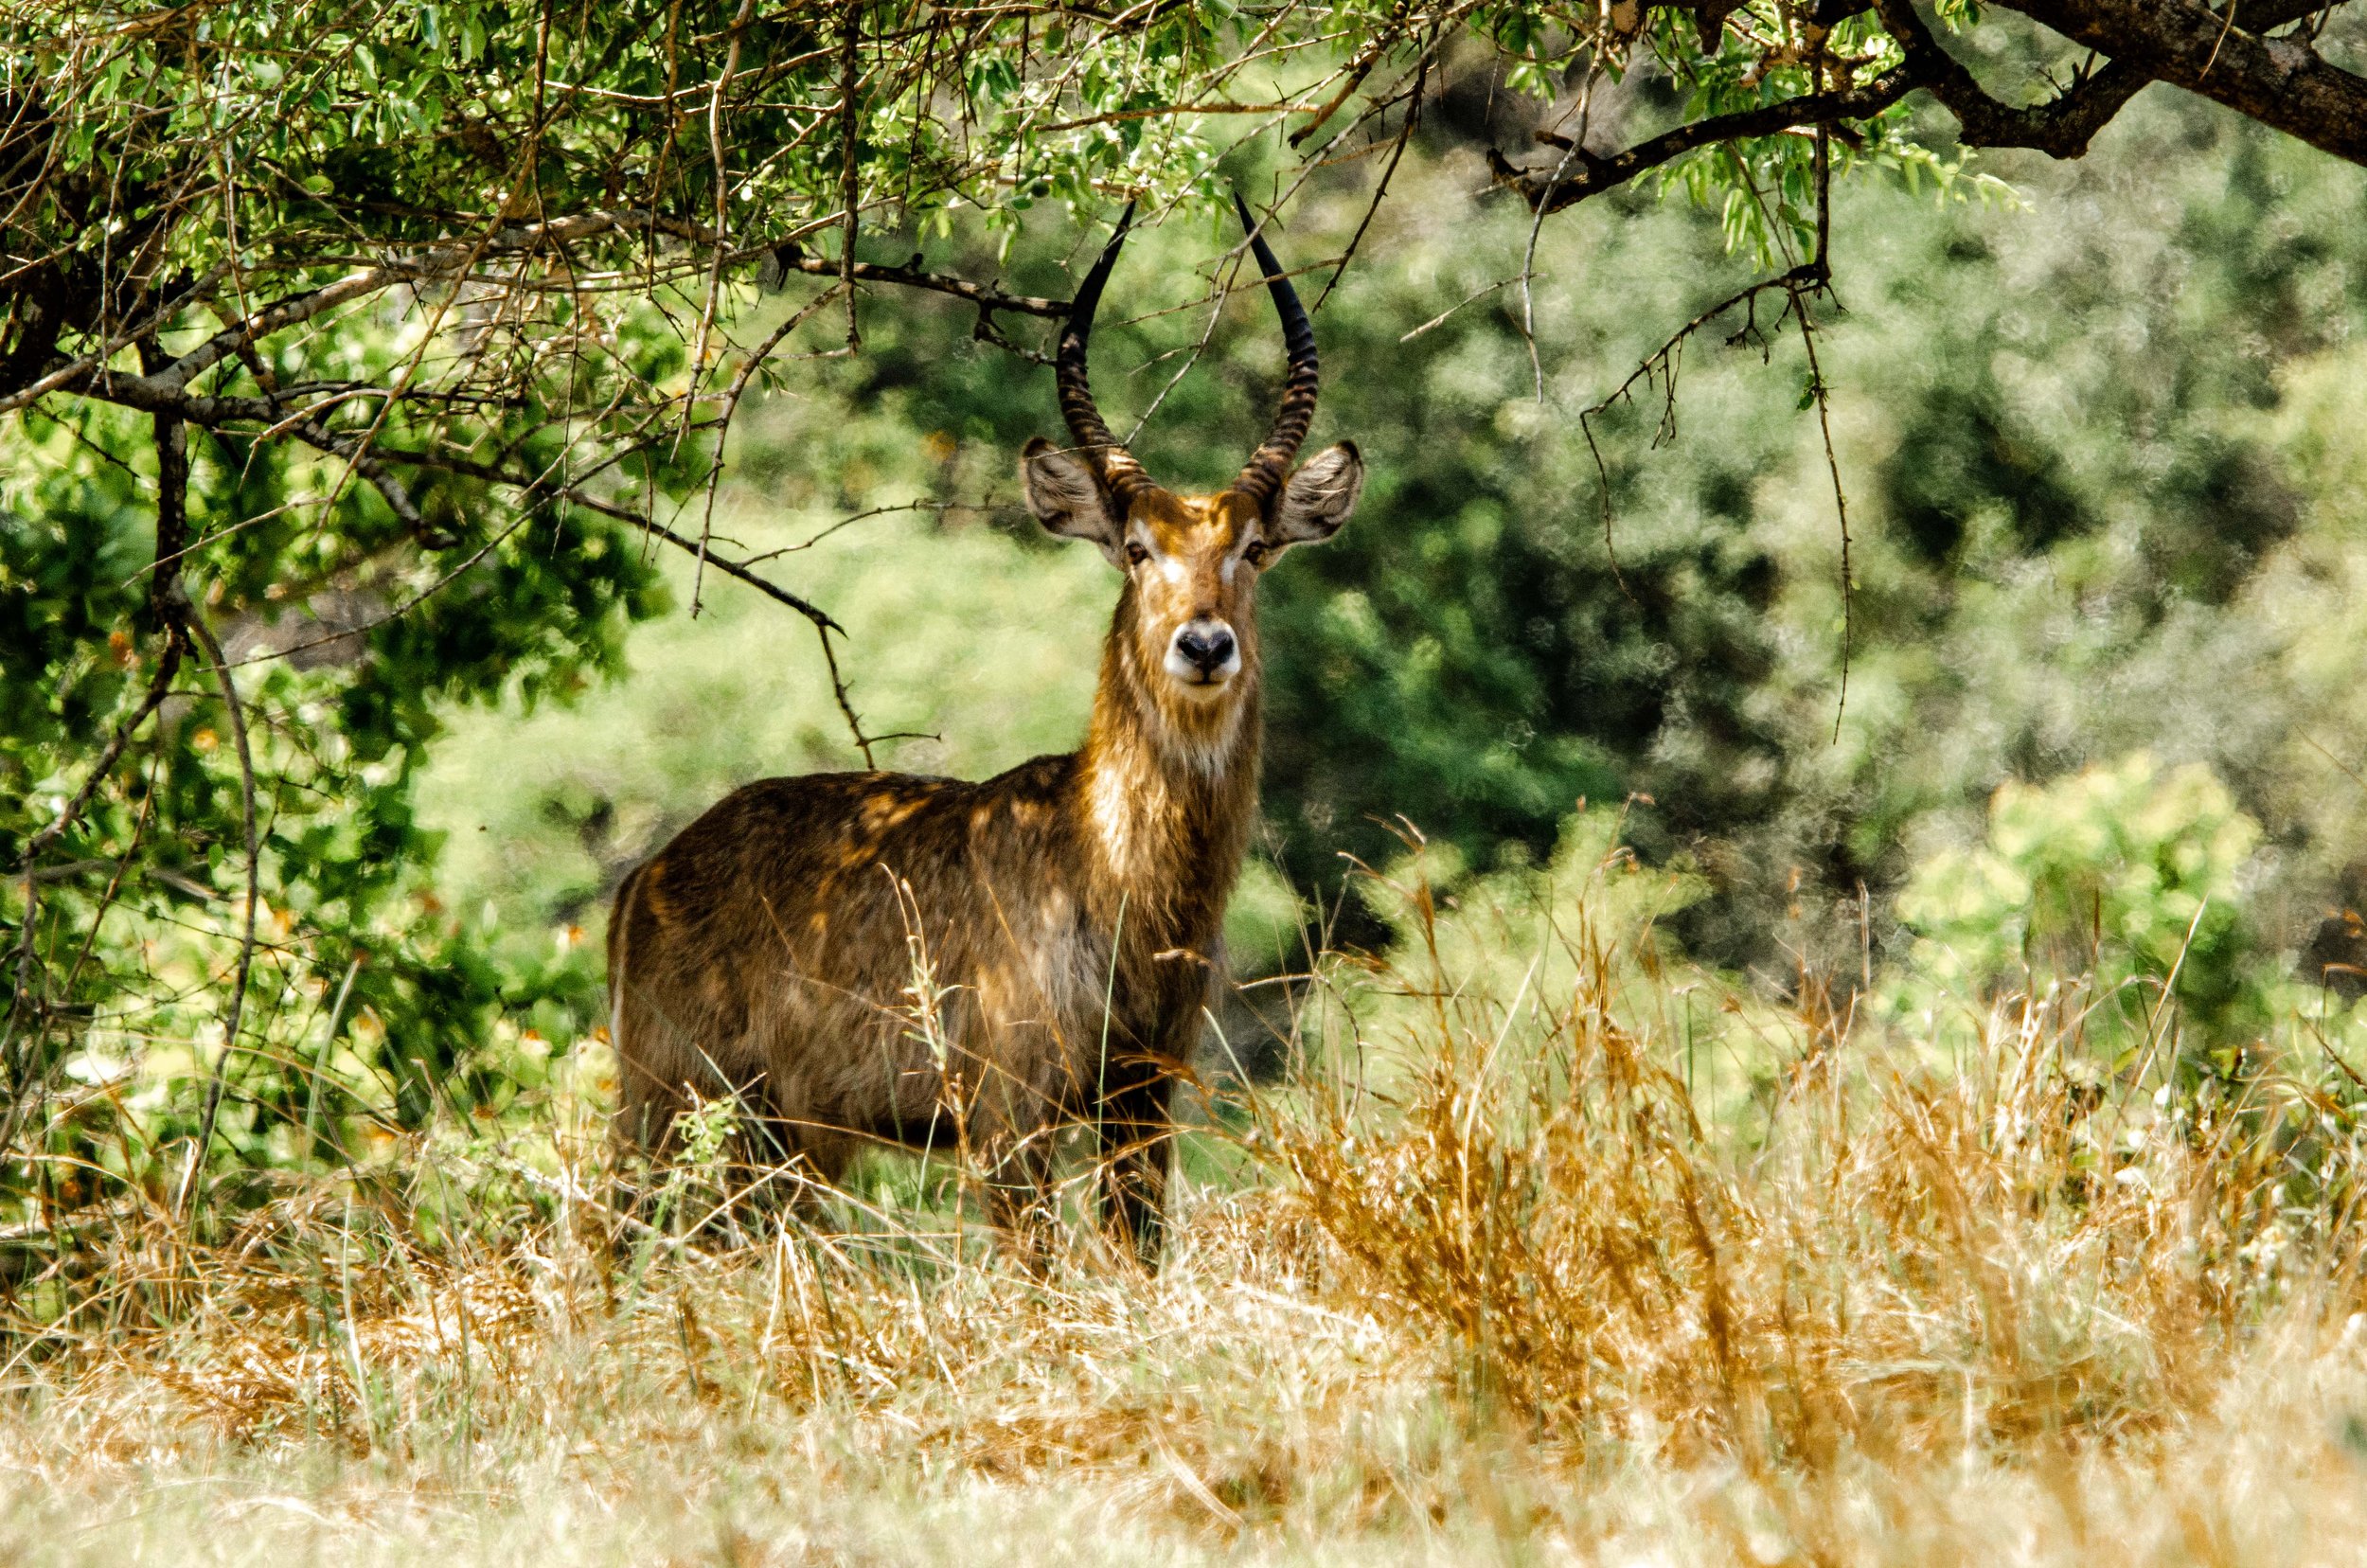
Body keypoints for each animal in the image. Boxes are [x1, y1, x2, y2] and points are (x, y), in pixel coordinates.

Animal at [605, 198, 1364, 1262]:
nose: (1205, 644)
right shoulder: (1009, 1115)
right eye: (1138, 549)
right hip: (665, 1102)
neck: (1106, 865)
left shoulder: (1143, 1098)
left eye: (1253, 548)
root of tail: (649, 874)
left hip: (784, 1136)